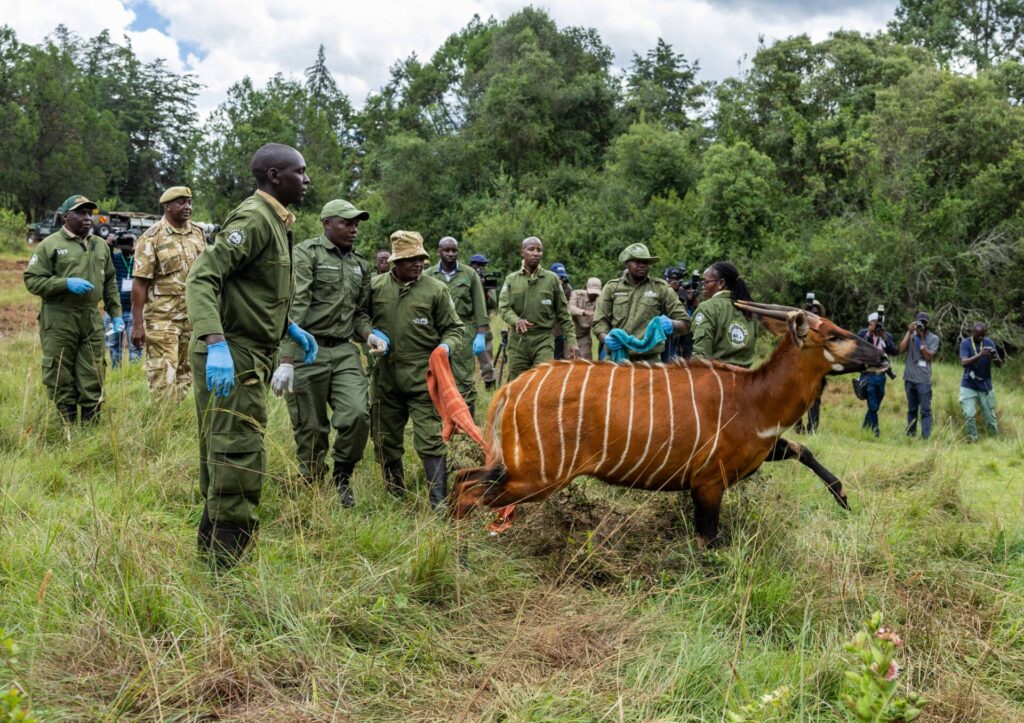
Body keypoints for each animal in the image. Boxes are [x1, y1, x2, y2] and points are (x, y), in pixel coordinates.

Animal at [452, 301, 892, 544]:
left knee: (463, 478)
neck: (754, 397)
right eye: (834, 335)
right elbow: (708, 542)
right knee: (469, 490)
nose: (883, 357)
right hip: (537, 476)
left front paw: (843, 496)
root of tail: (510, 391)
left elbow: (803, 449)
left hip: (517, 469)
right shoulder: (709, 484)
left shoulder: (758, 453)